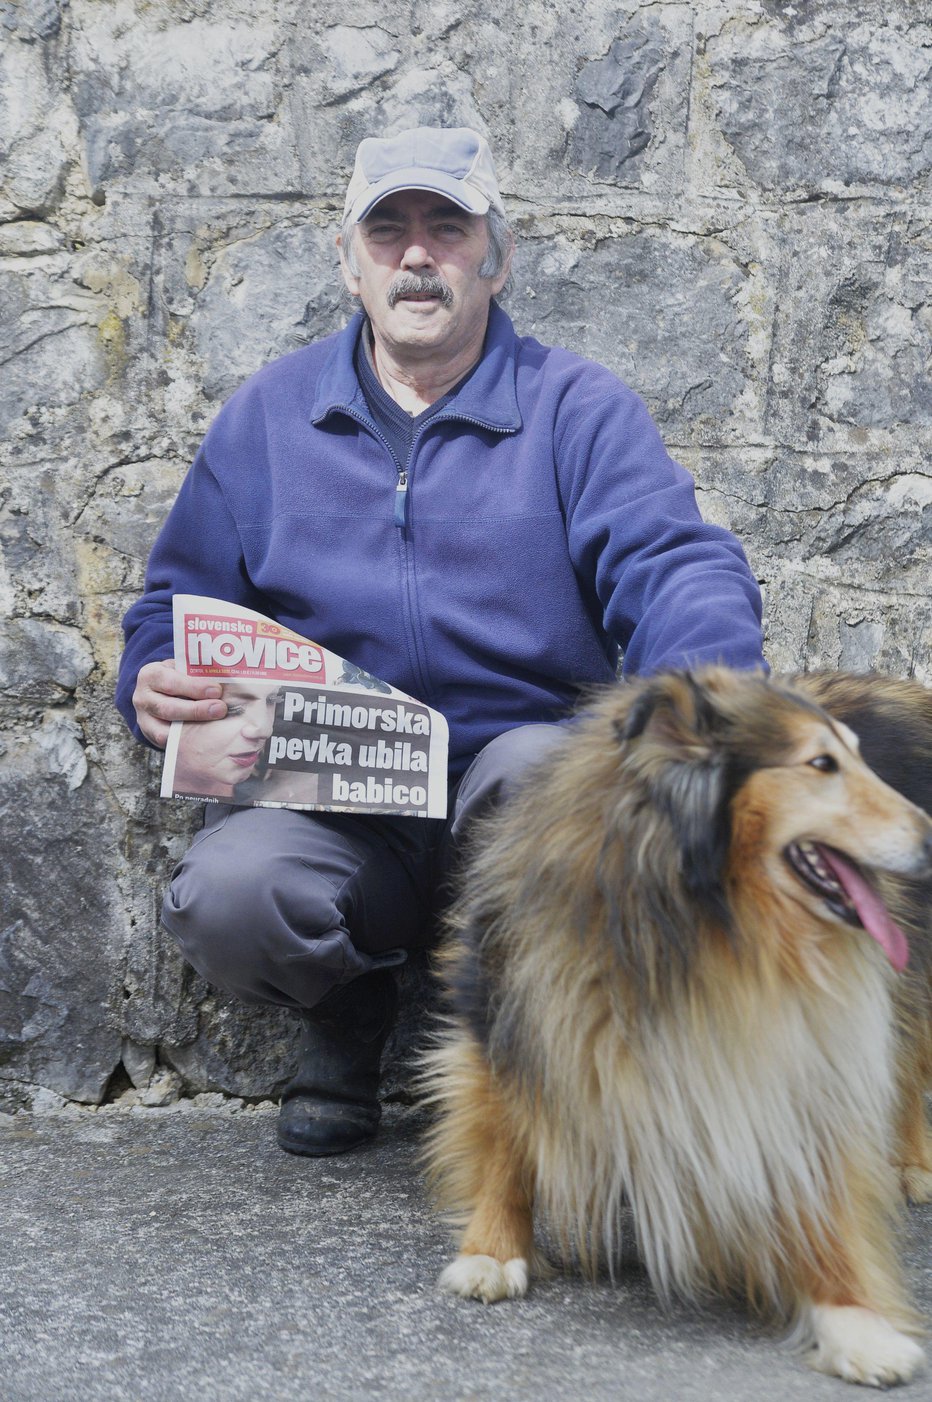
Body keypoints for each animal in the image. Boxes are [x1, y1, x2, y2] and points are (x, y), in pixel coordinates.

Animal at [420, 670, 930, 1390]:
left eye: (857, 759)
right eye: (821, 764)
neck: (699, 927)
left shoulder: (799, 1058)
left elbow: (822, 1206)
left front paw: (855, 1319)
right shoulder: (510, 1009)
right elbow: (504, 1142)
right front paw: (490, 1252)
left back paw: (912, 1164)